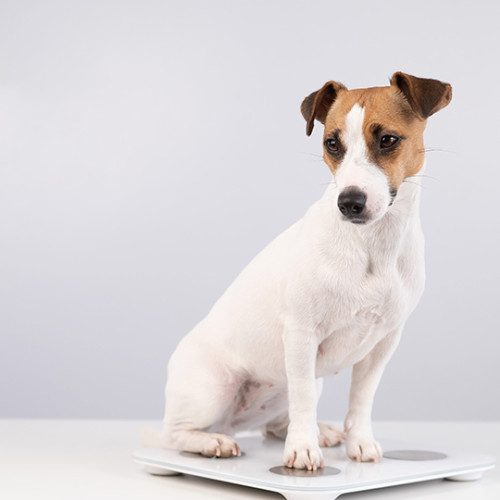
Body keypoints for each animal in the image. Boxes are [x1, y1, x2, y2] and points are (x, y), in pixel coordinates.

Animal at [161, 71, 454, 468]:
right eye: (332, 144)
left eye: (388, 140)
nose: (349, 202)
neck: (371, 245)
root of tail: (234, 422)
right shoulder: (302, 336)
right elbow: (302, 402)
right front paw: (301, 448)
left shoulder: (383, 344)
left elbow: (361, 400)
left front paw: (359, 442)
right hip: (213, 389)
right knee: (174, 434)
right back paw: (212, 442)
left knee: (273, 424)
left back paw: (319, 431)